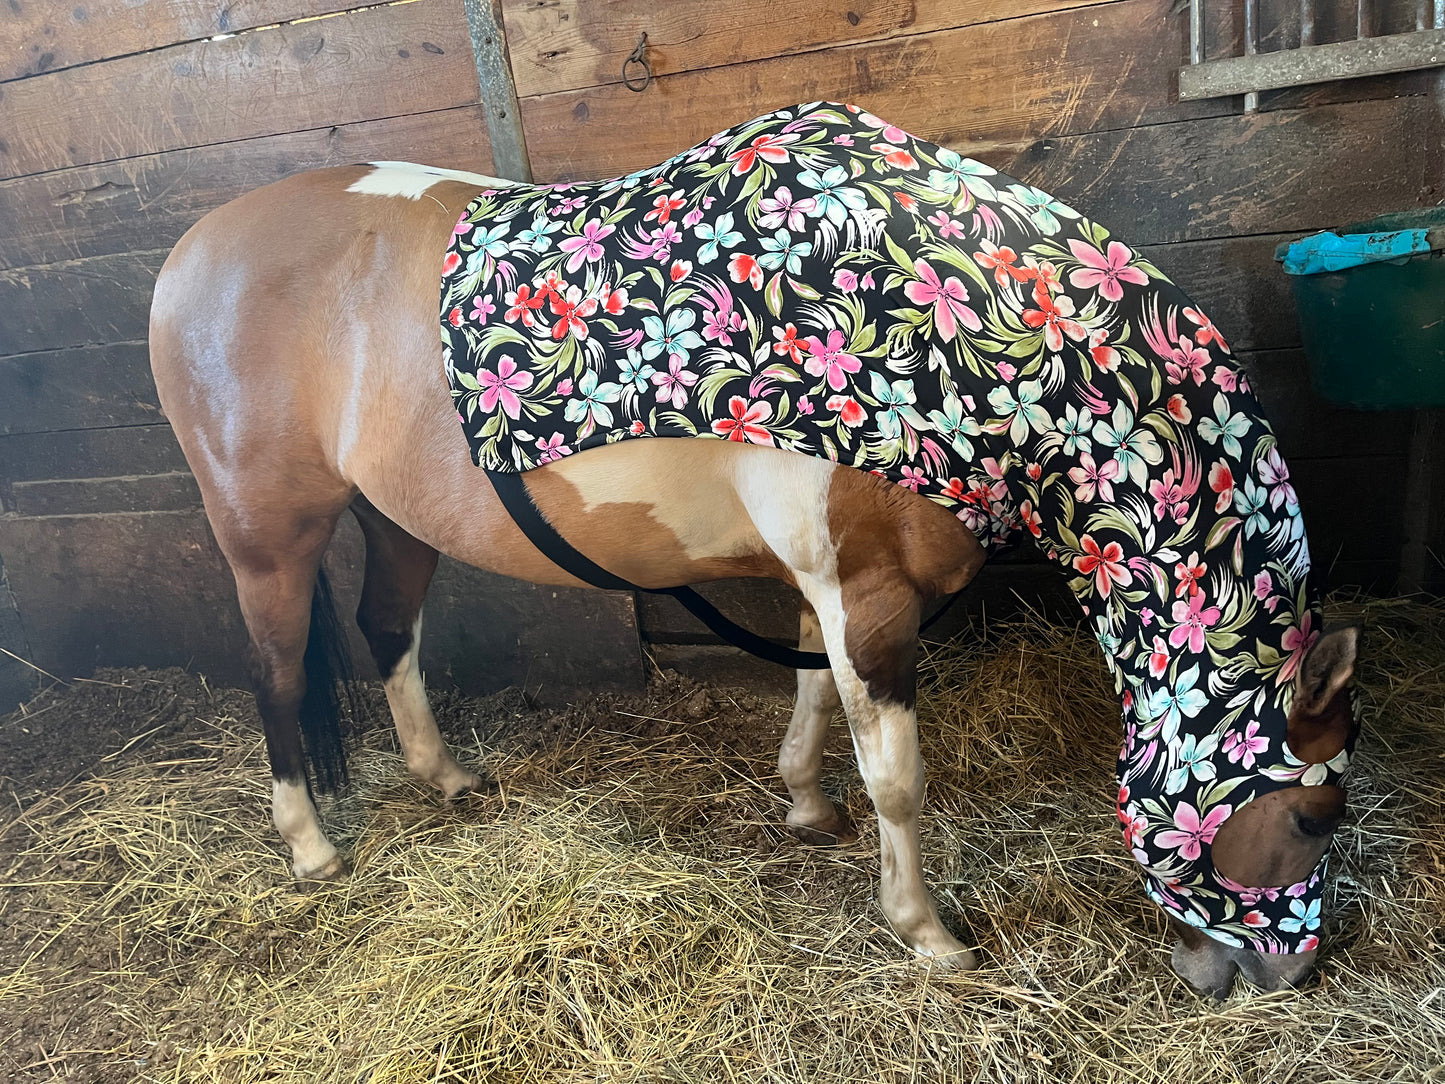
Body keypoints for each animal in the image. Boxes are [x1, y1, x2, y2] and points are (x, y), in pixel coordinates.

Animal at [149, 103, 1360, 997]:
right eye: (1311, 814)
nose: (1286, 974)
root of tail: (190, 254)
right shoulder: (865, 595)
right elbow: (898, 779)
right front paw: (923, 929)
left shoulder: (828, 588)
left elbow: (815, 693)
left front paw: (804, 803)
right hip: (267, 535)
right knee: (275, 673)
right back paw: (310, 847)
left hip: (392, 519)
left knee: (386, 631)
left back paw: (444, 777)